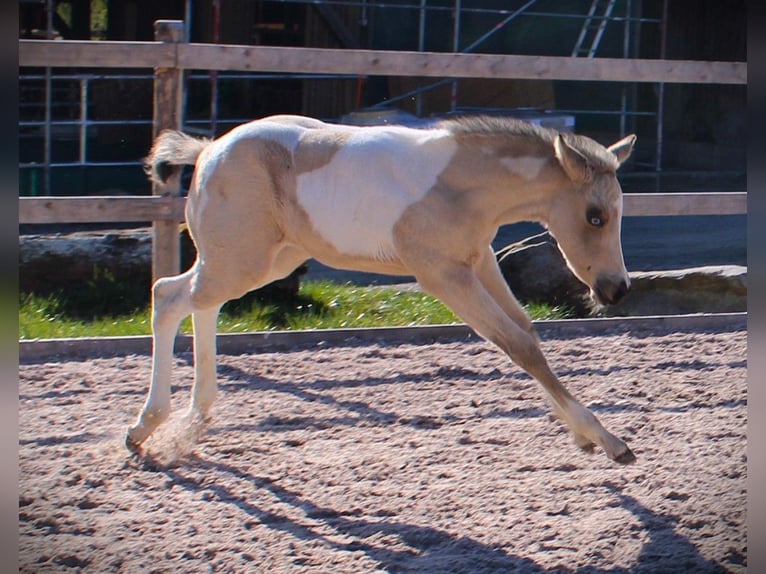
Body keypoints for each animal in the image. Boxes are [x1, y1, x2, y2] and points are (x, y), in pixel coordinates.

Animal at [128, 114, 637, 464]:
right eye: (595, 216)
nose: (616, 289)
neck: (458, 186)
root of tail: (209, 149)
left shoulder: (480, 260)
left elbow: (526, 331)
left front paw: (579, 434)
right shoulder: (442, 274)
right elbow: (517, 344)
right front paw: (609, 440)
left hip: (266, 260)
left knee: (197, 302)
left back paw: (189, 419)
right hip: (242, 260)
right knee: (170, 296)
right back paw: (149, 425)